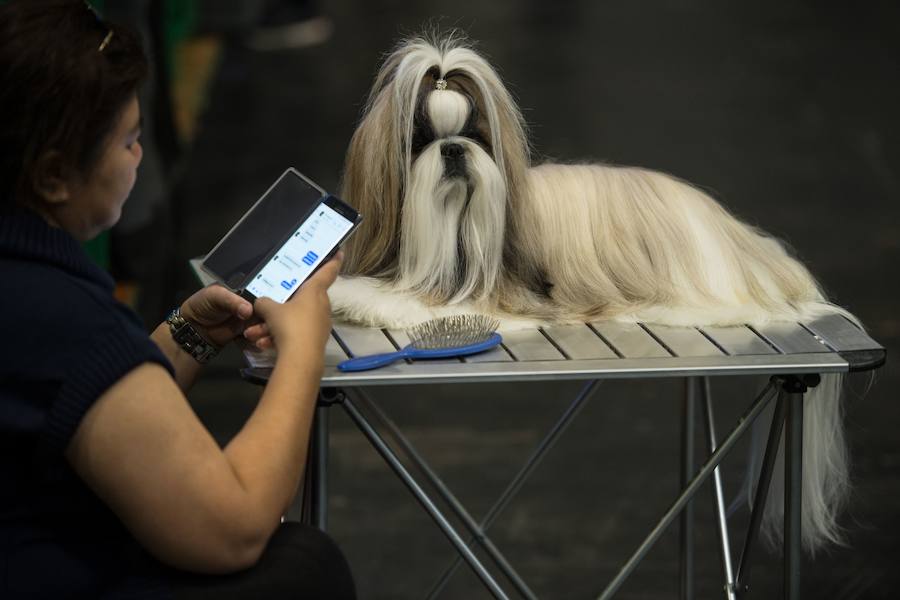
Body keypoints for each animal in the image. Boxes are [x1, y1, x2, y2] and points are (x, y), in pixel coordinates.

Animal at [328, 34, 856, 552]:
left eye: (476, 135)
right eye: (421, 139)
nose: (454, 149)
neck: (453, 233)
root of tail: (745, 241)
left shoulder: (496, 302)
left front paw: (357, 295)